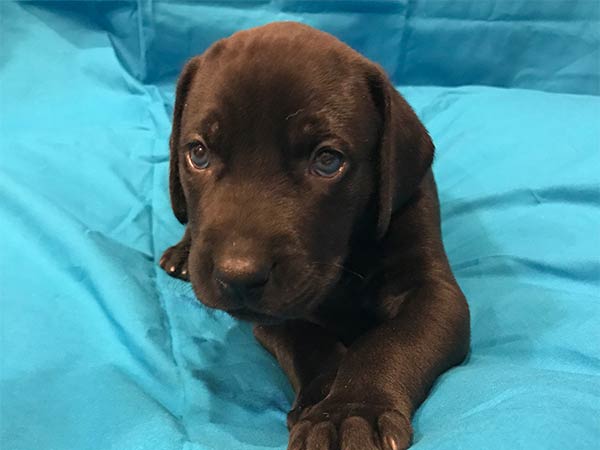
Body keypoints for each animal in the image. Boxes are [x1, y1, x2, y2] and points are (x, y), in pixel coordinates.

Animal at [160, 22, 470, 450]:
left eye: (327, 161)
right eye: (199, 154)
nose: (237, 275)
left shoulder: (434, 292)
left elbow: (389, 343)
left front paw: (351, 411)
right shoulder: (275, 314)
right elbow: (306, 339)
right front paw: (326, 394)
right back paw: (181, 252)